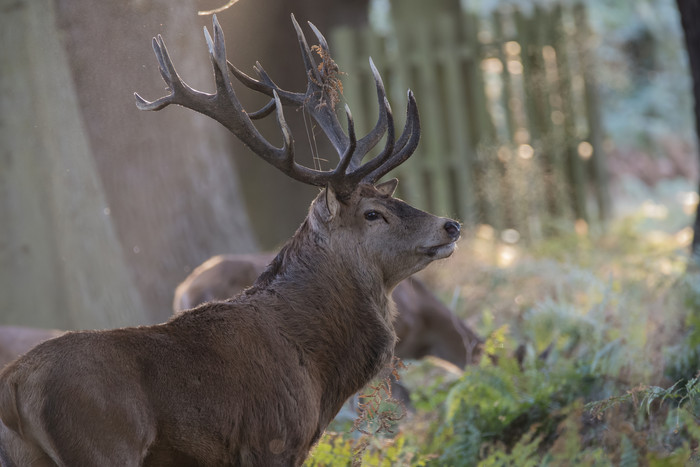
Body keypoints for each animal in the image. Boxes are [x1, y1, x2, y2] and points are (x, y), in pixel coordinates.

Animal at [0, 14, 460, 467]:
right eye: (373, 214)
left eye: (391, 198)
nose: (450, 225)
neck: (316, 372)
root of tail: (14, 390)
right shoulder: (272, 440)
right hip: (103, 447)